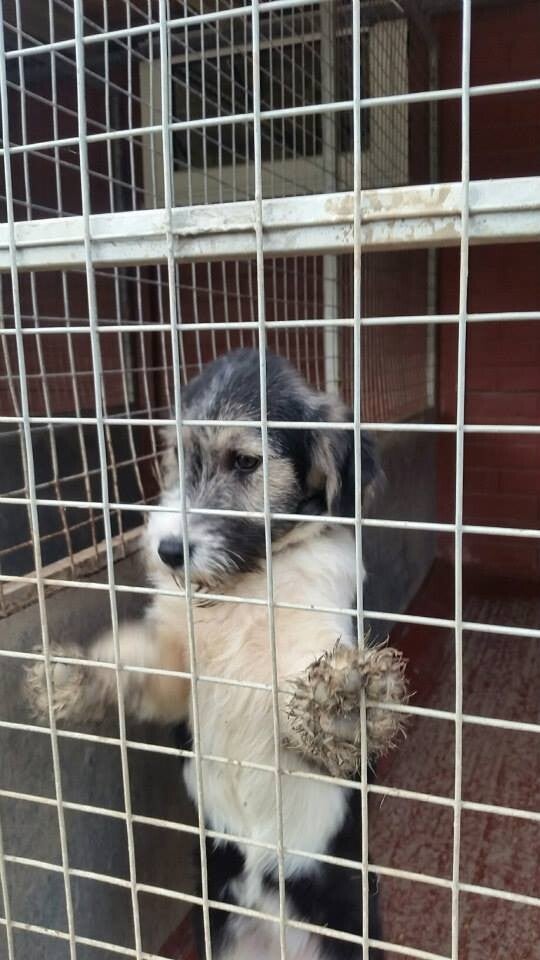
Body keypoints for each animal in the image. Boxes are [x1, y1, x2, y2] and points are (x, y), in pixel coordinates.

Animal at [27, 348, 401, 959]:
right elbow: (137, 665)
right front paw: (75, 679)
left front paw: (345, 701)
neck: (243, 585)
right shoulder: (178, 673)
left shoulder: (309, 645)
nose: (168, 551)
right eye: (179, 455)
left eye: (246, 462)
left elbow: (312, 695)